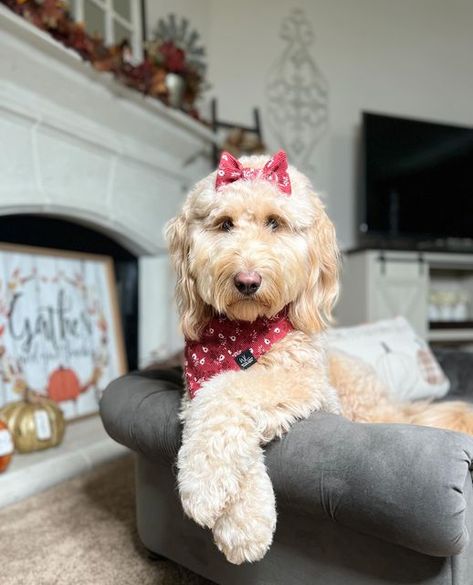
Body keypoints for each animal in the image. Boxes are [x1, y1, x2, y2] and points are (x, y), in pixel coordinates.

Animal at [165, 148, 472, 564]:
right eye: (225, 224)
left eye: (274, 223)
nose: (247, 281)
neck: (245, 335)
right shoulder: (194, 391)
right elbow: (215, 406)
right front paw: (245, 521)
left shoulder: (308, 386)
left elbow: (232, 390)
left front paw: (203, 486)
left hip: (365, 409)